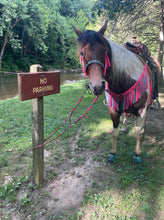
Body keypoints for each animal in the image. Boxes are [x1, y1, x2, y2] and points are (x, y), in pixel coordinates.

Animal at [73, 21, 158, 164]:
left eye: (104, 51)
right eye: (82, 53)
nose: (97, 86)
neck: (126, 80)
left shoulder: (141, 110)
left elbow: (137, 133)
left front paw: (137, 155)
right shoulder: (113, 110)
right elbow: (114, 133)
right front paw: (112, 153)